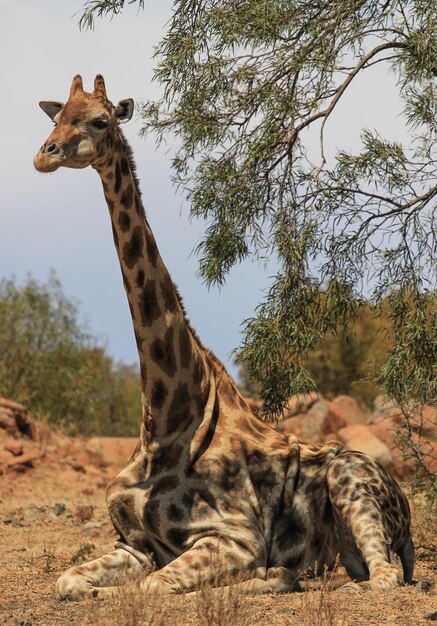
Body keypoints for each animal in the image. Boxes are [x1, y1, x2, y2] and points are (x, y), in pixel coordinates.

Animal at [33, 77, 412, 600]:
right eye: (56, 117)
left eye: (99, 120)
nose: (44, 156)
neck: (164, 420)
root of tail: (408, 511)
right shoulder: (134, 543)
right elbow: (69, 580)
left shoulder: (234, 537)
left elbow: (150, 588)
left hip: (348, 479)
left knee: (383, 576)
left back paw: (284, 577)